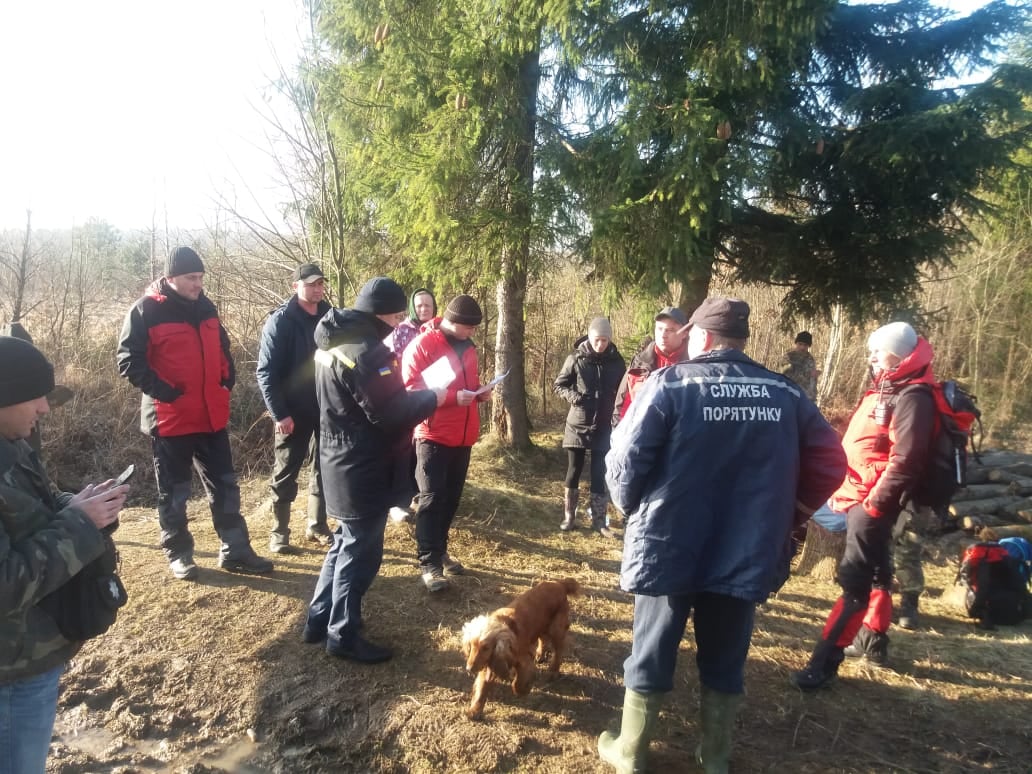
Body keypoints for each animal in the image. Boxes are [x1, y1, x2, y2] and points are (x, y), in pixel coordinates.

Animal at [462, 577, 582, 718]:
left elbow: (518, 683)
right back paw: (540, 655)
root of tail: (559, 583)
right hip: (541, 625)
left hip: (556, 629)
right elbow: (482, 688)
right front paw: (474, 711)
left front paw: (524, 690)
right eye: (471, 645)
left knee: (558, 650)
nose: (469, 669)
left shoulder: (524, 661)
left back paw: (553, 671)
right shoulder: (489, 664)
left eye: (486, 648)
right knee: (543, 639)